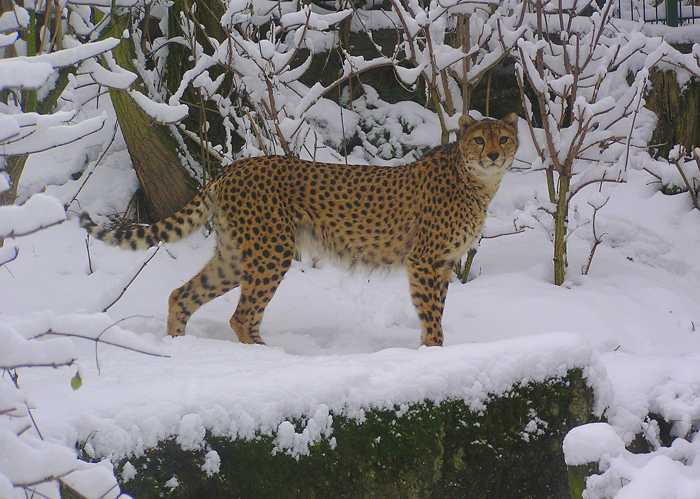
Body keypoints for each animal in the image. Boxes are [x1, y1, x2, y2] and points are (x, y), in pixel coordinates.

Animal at [82, 114, 520, 346]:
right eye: (478, 140)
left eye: (504, 138)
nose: (493, 154)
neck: (475, 180)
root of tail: (233, 168)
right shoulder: (427, 261)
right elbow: (431, 315)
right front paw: (434, 351)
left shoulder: (442, 263)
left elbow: (437, 311)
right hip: (271, 251)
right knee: (241, 315)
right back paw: (262, 356)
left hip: (234, 255)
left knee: (183, 294)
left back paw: (181, 346)